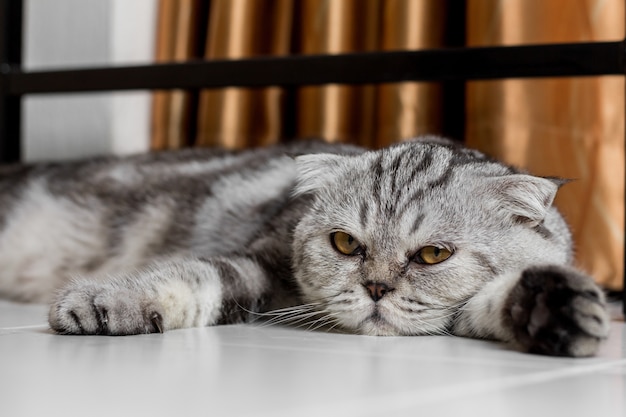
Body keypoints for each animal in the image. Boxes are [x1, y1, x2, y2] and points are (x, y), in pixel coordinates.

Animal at [0, 136, 608, 354]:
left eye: (433, 255)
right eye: (344, 243)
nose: (376, 288)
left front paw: (562, 310)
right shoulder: (257, 262)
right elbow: (190, 276)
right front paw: (104, 304)